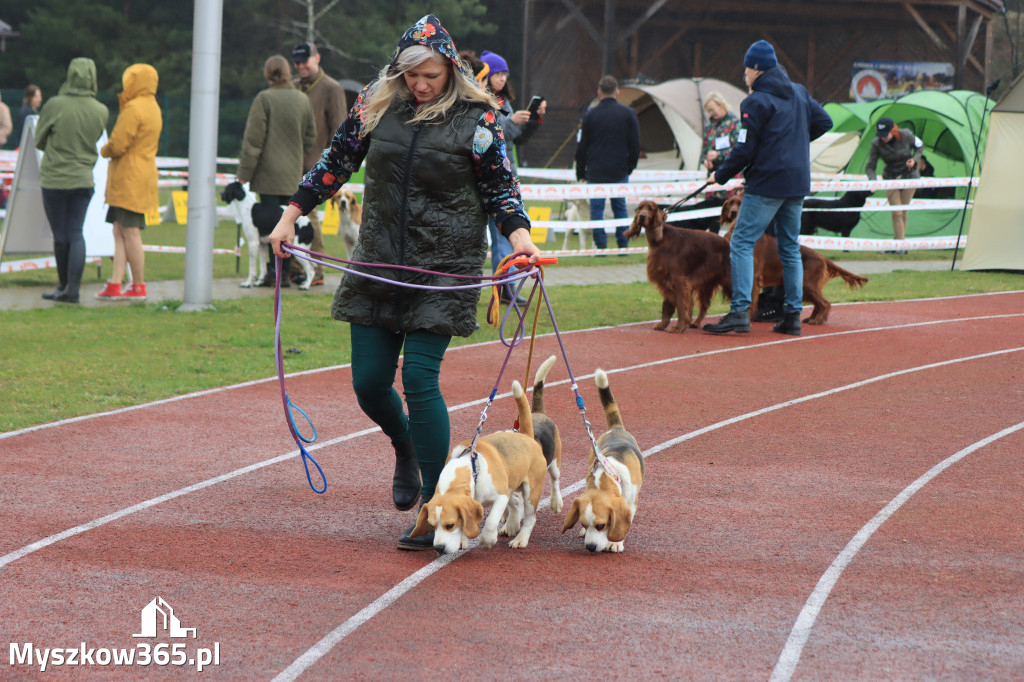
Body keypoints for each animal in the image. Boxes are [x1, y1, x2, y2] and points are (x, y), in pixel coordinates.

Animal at [618, 199, 733, 331]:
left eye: (651, 209)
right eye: (640, 208)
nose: (642, 216)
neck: (660, 240)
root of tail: (726, 241)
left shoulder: (679, 280)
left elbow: (682, 305)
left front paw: (679, 327)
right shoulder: (665, 279)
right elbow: (667, 305)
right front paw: (662, 324)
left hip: (728, 279)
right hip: (706, 282)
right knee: (704, 305)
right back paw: (696, 322)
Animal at [716, 192, 868, 323]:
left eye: (740, 203)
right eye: (730, 203)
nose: (734, 212)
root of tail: (822, 257)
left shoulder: (753, 276)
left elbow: (751, 301)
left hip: (807, 284)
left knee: (825, 303)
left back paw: (817, 320)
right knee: (818, 303)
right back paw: (811, 319)